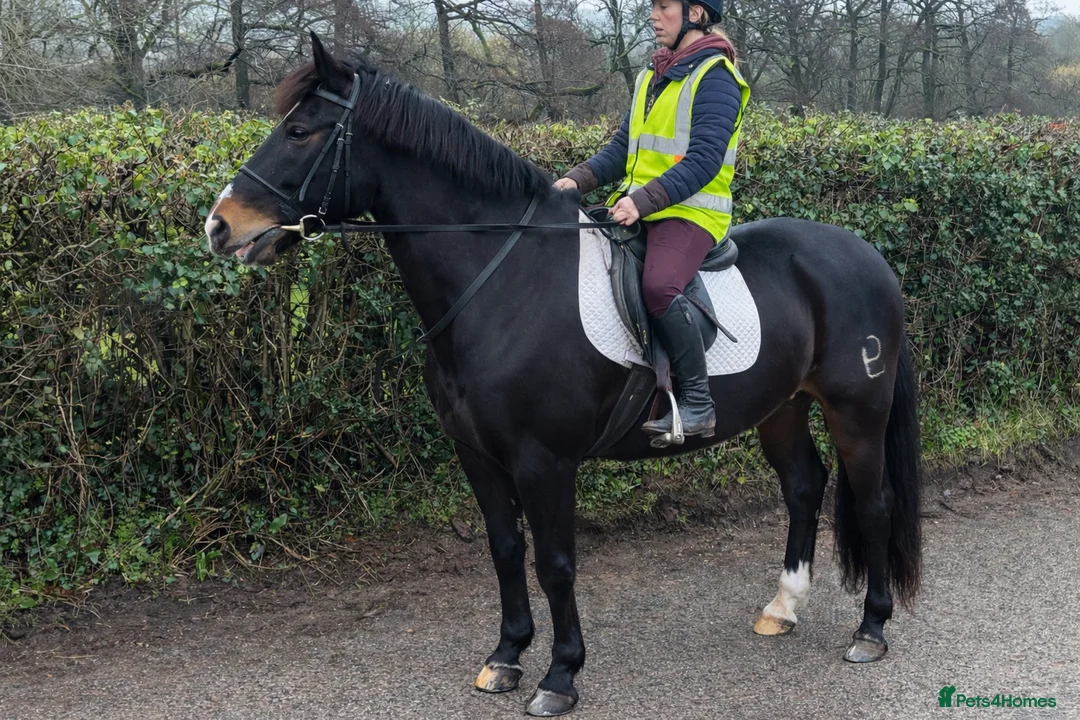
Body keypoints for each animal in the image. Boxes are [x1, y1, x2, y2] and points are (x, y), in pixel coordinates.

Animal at [204, 33, 922, 717]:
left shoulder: (543, 459)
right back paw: (783, 606)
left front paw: (560, 676)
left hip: (856, 410)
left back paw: (871, 629)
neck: (503, 280)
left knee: (875, 500)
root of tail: (867, 256)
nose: (218, 226)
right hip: (782, 406)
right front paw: (506, 656)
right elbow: (504, 548)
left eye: (302, 131)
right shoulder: (477, 454)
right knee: (803, 486)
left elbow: (554, 563)